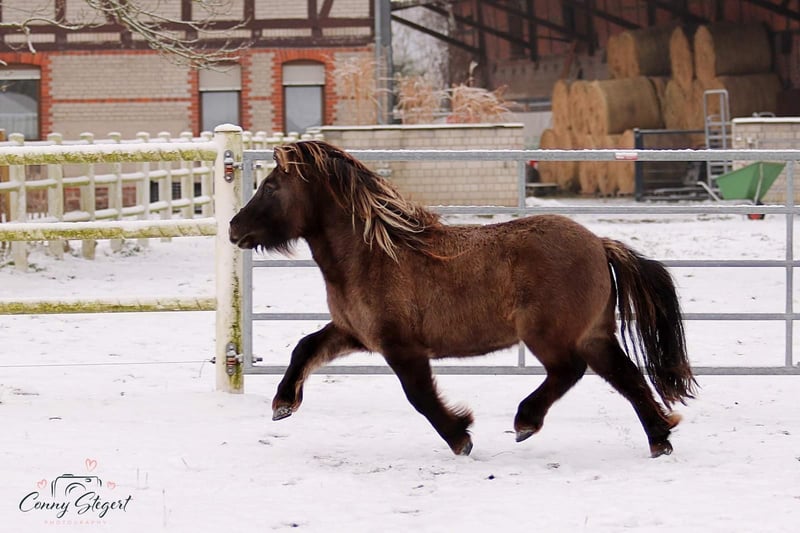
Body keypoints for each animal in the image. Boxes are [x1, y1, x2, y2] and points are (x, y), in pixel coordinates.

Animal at [228, 140, 696, 458]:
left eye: (270, 187)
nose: (234, 228)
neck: (372, 253)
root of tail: (599, 244)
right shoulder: (353, 333)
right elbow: (305, 347)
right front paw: (283, 404)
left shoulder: (402, 347)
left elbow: (419, 396)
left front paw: (460, 437)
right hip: (594, 335)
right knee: (627, 376)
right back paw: (660, 439)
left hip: (552, 337)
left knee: (570, 370)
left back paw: (526, 421)